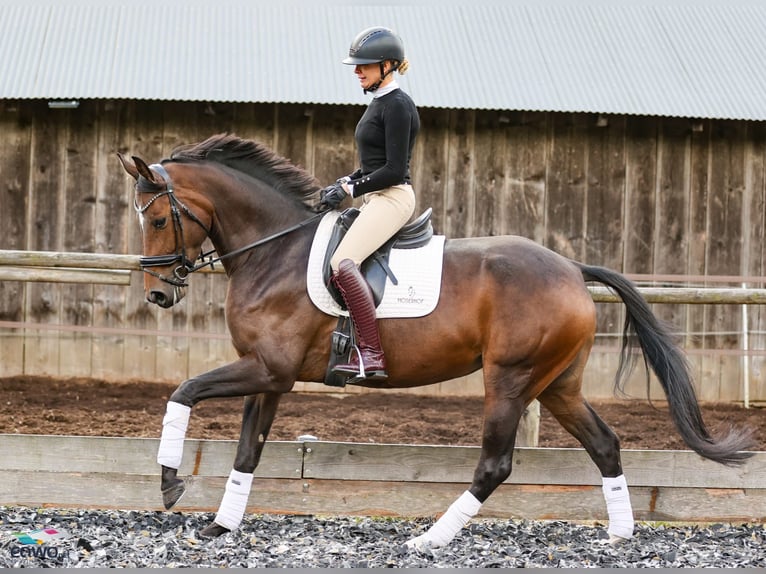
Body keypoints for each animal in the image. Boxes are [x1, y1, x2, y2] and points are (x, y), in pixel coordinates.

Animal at [120, 133, 756, 552]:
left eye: (159, 220)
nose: (157, 295)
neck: (274, 250)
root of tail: (572, 269)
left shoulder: (267, 369)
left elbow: (182, 392)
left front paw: (170, 483)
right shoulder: (268, 373)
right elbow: (248, 449)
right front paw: (221, 524)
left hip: (511, 378)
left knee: (495, 464)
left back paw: (430, 539)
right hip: (557, 385)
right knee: (605, 444)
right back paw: (620, 535)